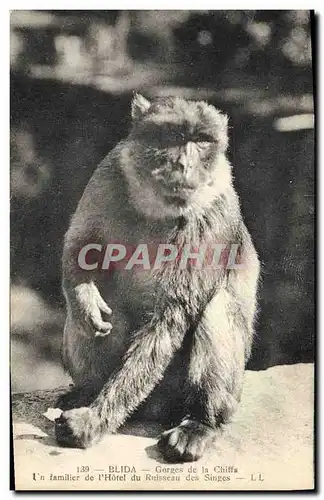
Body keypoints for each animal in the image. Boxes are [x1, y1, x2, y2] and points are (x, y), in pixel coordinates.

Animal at [54, 93, 260, 460]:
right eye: (174, 136)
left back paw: (199, 424)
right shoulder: (107, 174)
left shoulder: (210, 217)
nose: (184, 165)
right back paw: (87, 390)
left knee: (217, 308)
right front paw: (83, 298)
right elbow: (81, 247)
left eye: (201, 141)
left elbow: (169, 317)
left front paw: (94, 421)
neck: (155, 205)